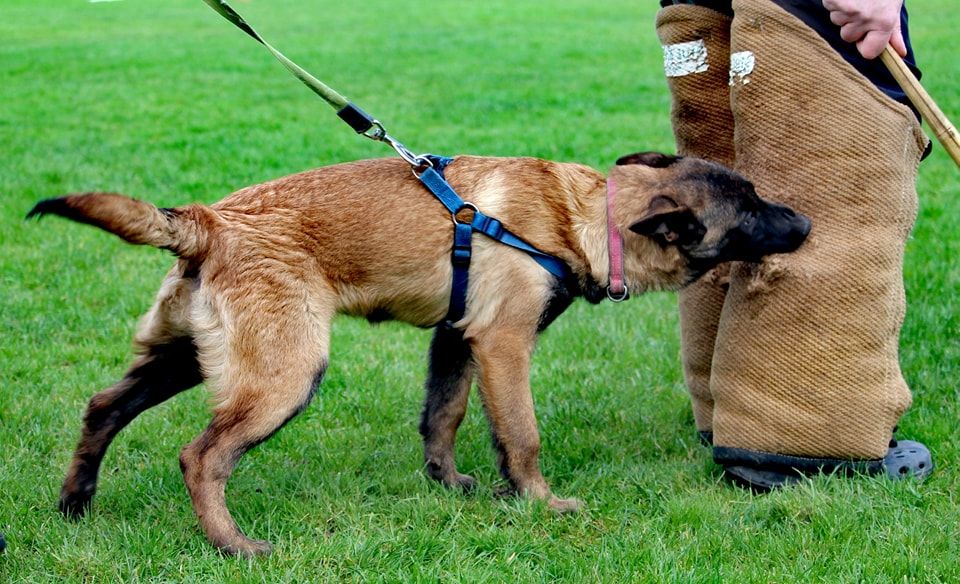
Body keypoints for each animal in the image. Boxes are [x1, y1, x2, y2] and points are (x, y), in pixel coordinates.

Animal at [28, 152, 808, 556]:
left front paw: (451, 485)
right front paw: (540, 503)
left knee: (103, 408)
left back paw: (76, 504)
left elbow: (443, 416)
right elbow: (520, 434)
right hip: (286, 376)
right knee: (201, 456)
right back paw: (234, 546)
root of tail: (208, 222)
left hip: (186, 358)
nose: (805, 220)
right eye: (752, 210)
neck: (584, 216)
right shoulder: (502, 343)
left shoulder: (457, 340)